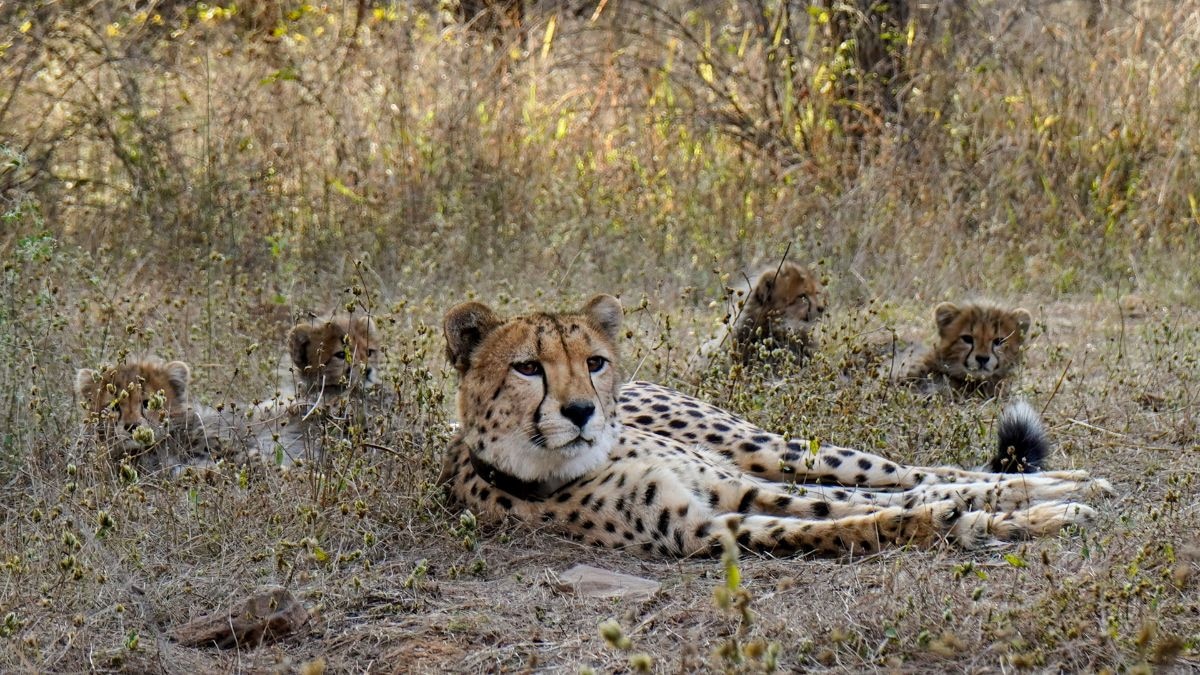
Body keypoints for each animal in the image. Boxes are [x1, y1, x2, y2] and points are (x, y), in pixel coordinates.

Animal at [438, 294, 1111, 559]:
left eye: (594, 362)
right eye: (528, 367)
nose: (582, 411)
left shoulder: (737, 485)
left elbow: (868, 503)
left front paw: (1014, 512)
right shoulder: (710, 526)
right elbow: (844, 524)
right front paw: (956, 524)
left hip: (771, 449)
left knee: (919, 471)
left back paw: (1074, 484)